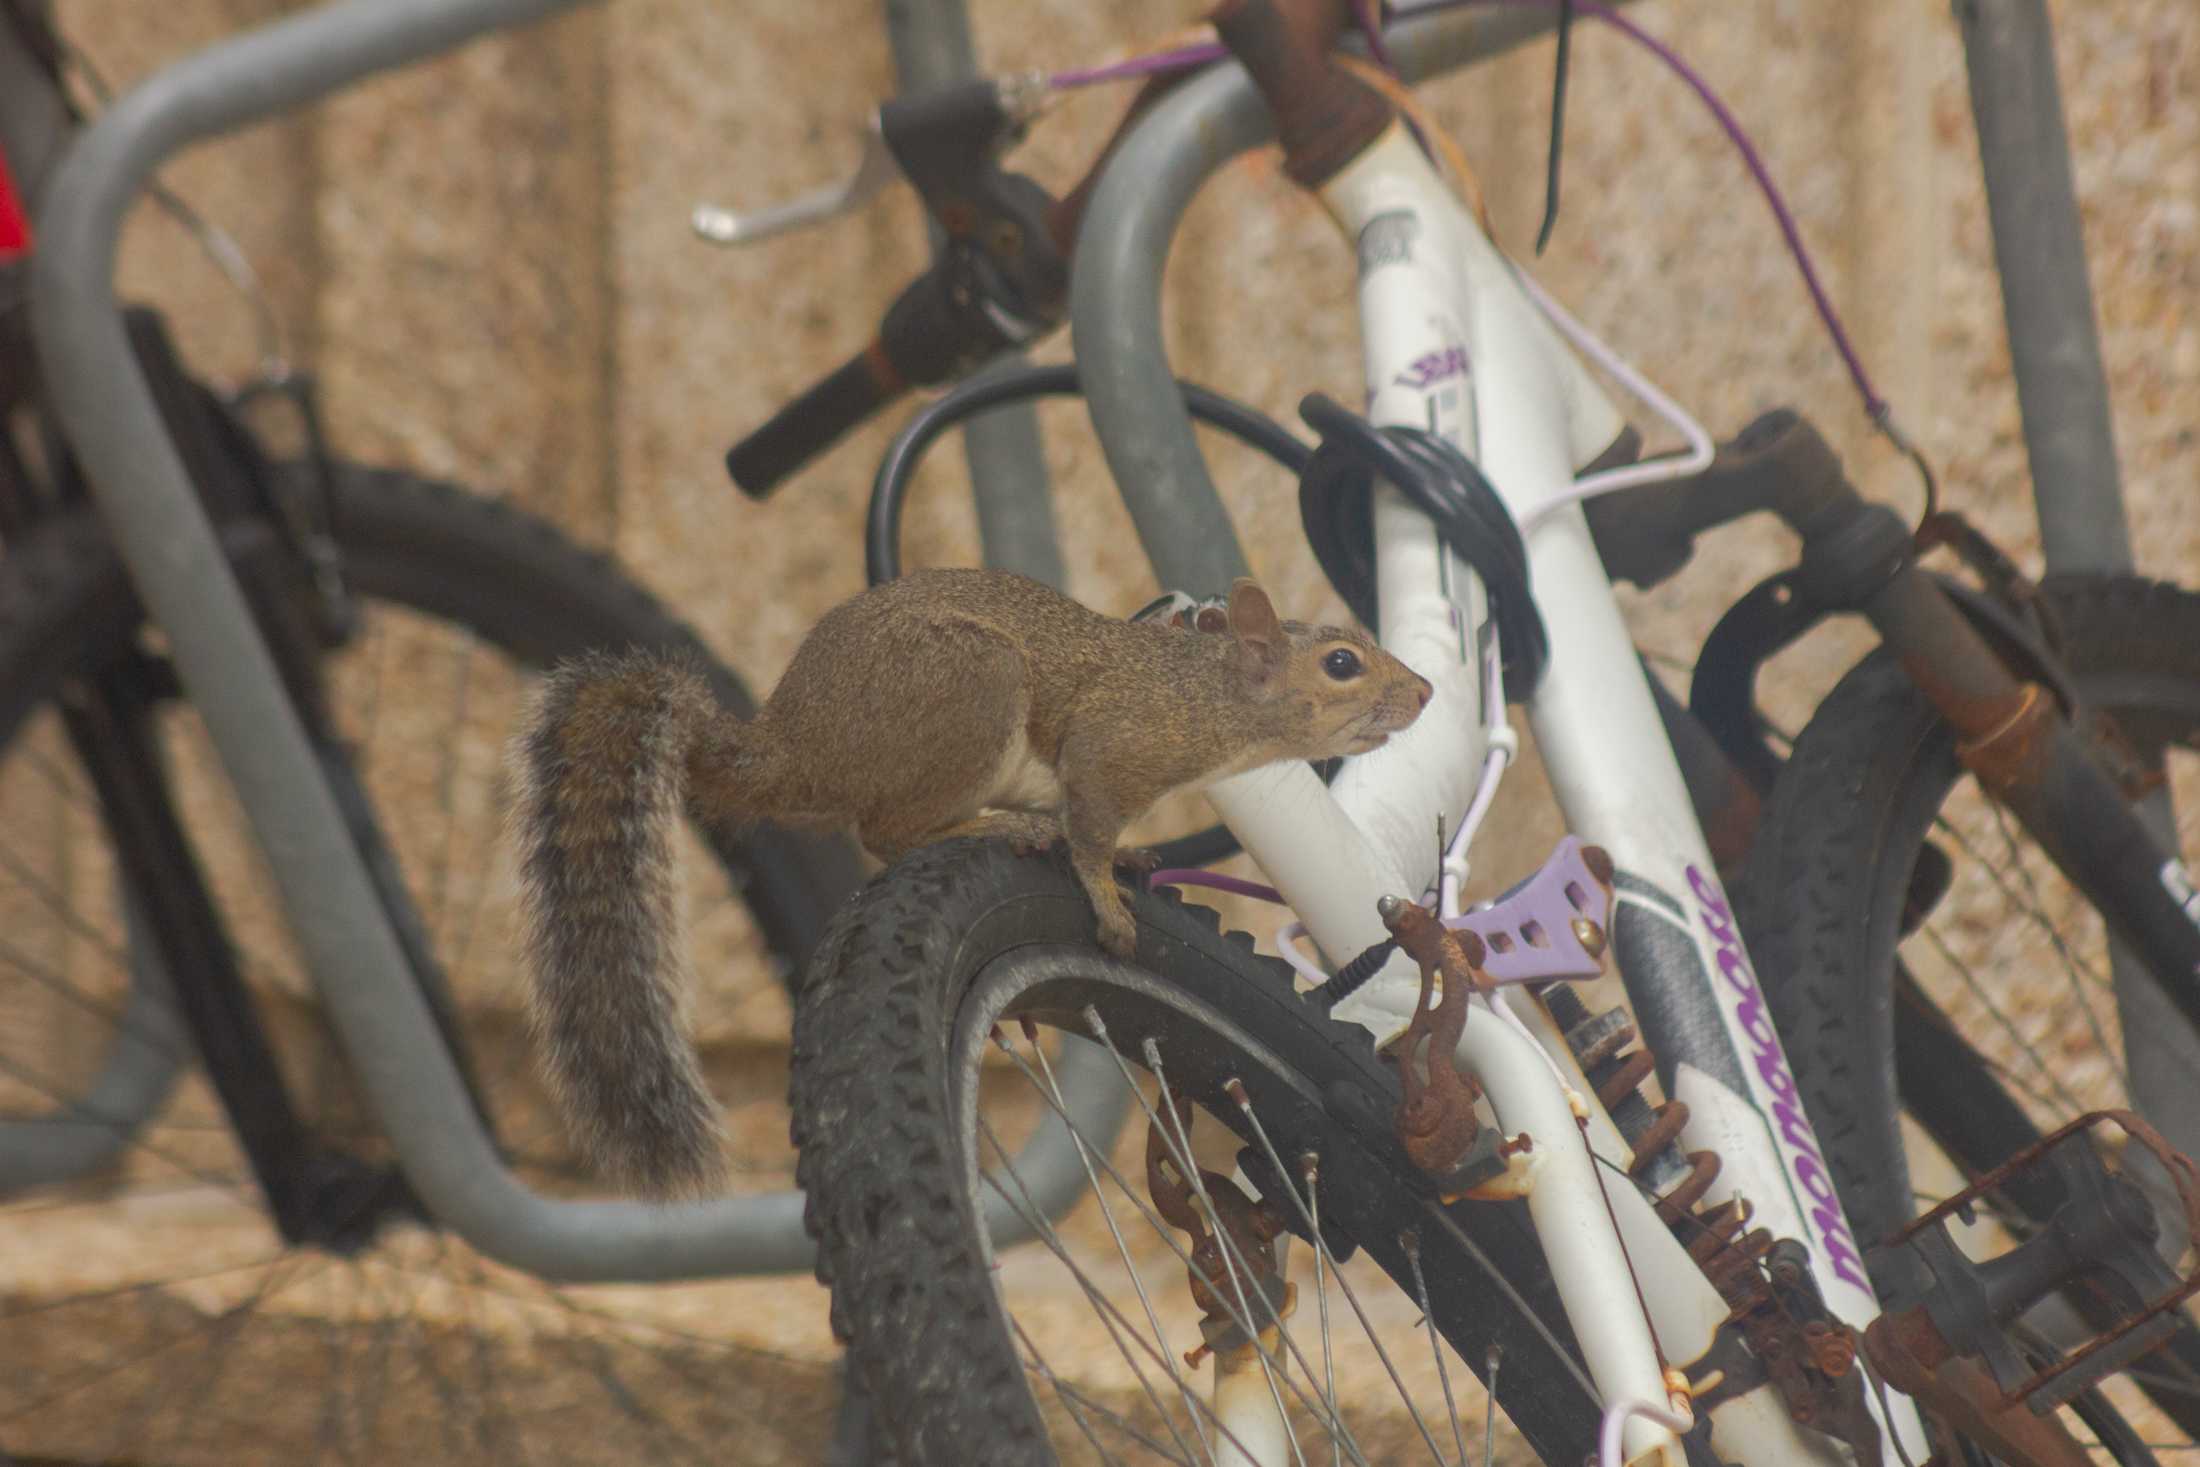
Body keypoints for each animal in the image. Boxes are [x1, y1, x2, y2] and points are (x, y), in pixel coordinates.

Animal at [517, 567, 1443, 1196]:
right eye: (1340, 664)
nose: (1428, 691)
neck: (1203, 694)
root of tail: (793, 748)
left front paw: (1131, 861)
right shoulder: (1113, 748)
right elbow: (1091, 828)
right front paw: (1107, 894)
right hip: (969, 691)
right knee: (885, 830)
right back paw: (1005, 827)